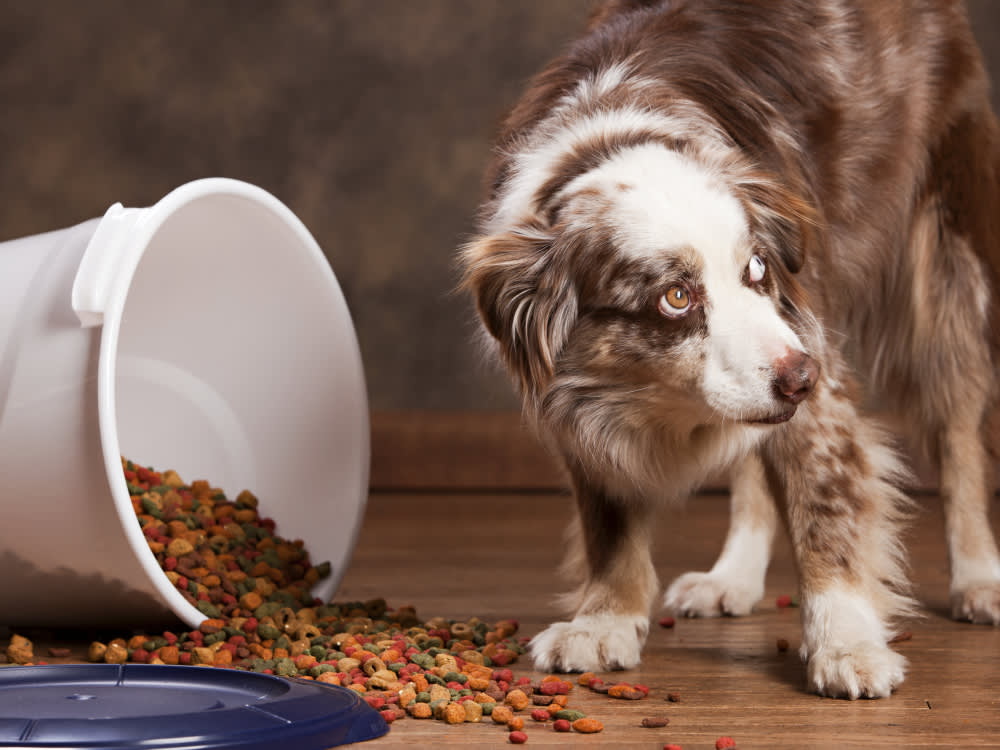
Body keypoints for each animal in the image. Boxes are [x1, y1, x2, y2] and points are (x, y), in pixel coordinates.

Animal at [458, 0, 1000, 700]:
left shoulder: (813, 356)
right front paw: (605, 621)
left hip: (940, 263)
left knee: (959, 429)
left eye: (758, 267)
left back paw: (979, 577)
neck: (609, 132)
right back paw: (733, 577)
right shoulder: (574, 401)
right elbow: (609, 524)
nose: (801, 378)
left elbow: (825, 507)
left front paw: (846, 644)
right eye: (676, 297)